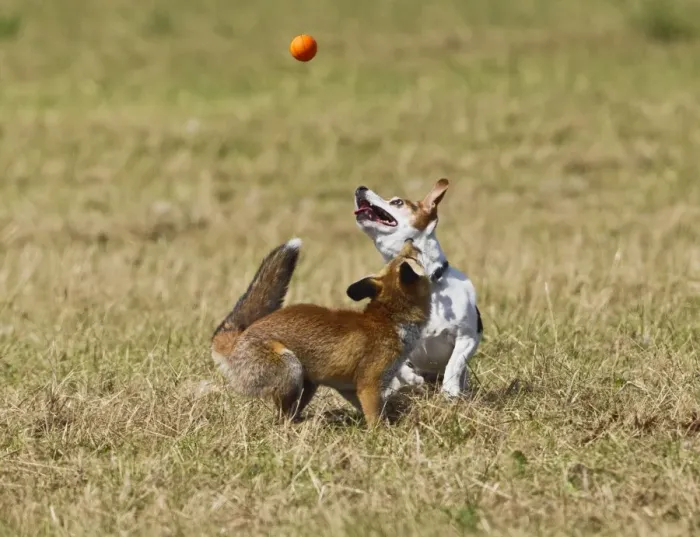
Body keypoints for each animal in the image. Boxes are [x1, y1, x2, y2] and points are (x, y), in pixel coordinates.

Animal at [210, 237, 432, 426]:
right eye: (411, 258)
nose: (409, 240)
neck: (391, 321)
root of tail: (237, 339)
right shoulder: (370, 384)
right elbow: (376, 421)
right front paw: (382, 435)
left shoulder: (350, 388)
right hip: (291, 369)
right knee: (282, 420)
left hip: (308, 385)